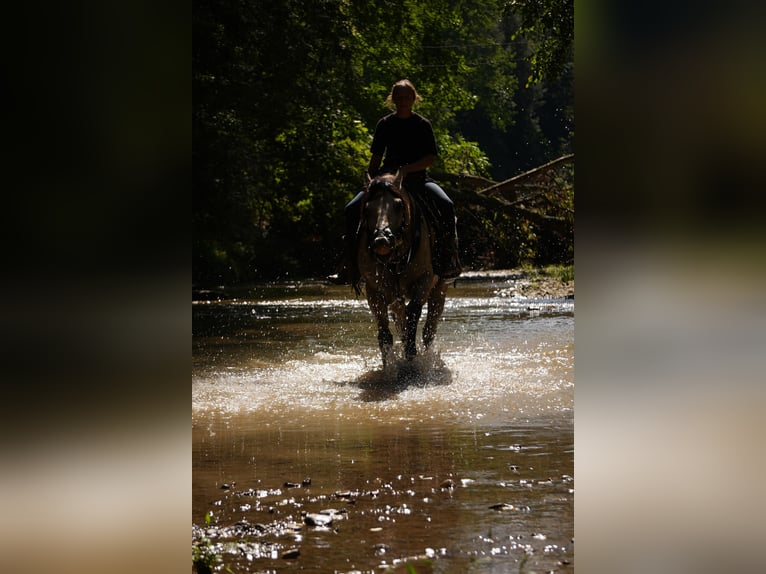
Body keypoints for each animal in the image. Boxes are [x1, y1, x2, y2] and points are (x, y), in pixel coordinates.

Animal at [355, 173, 448, 366]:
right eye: (367, 208)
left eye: (398, 205)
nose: (381, 239)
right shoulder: (374, 290)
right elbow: (385, 332)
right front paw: (389, 365)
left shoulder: (424, 280)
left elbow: (413, 314)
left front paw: (411, 355)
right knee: (400, 321)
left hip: (440, 288)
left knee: (429, 329)